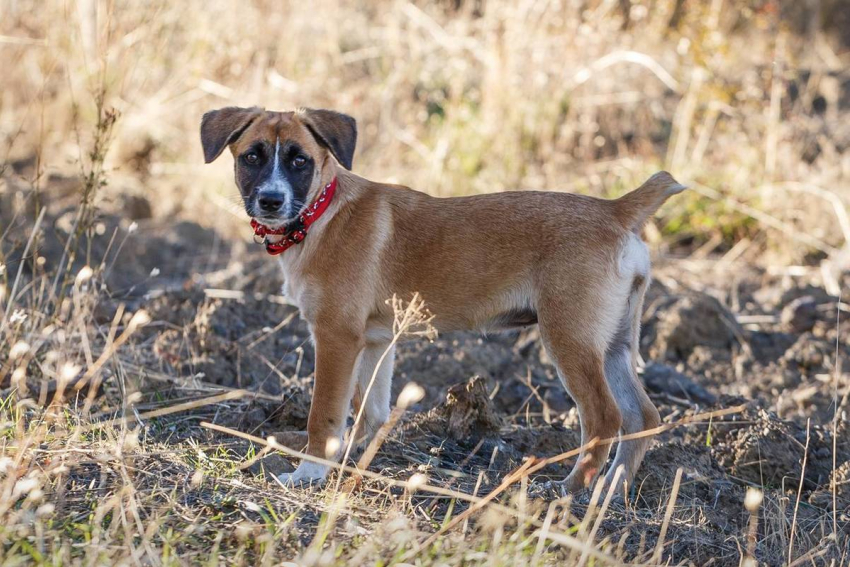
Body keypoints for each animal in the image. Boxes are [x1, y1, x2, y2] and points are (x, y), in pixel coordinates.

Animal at [200, 105, 684, 492]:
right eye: (252, 157)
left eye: (299, 160)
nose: (271, 201)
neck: (321, 213)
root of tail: (615, 210)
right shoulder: (375, 342)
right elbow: (370, 410)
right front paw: (352, 459)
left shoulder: (336, 336)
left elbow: (325, 414)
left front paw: (310, 472)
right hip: (614, 342)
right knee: (642, 416)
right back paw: (612, 491)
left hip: (570, 338)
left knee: (604, 417)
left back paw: (569, 489)